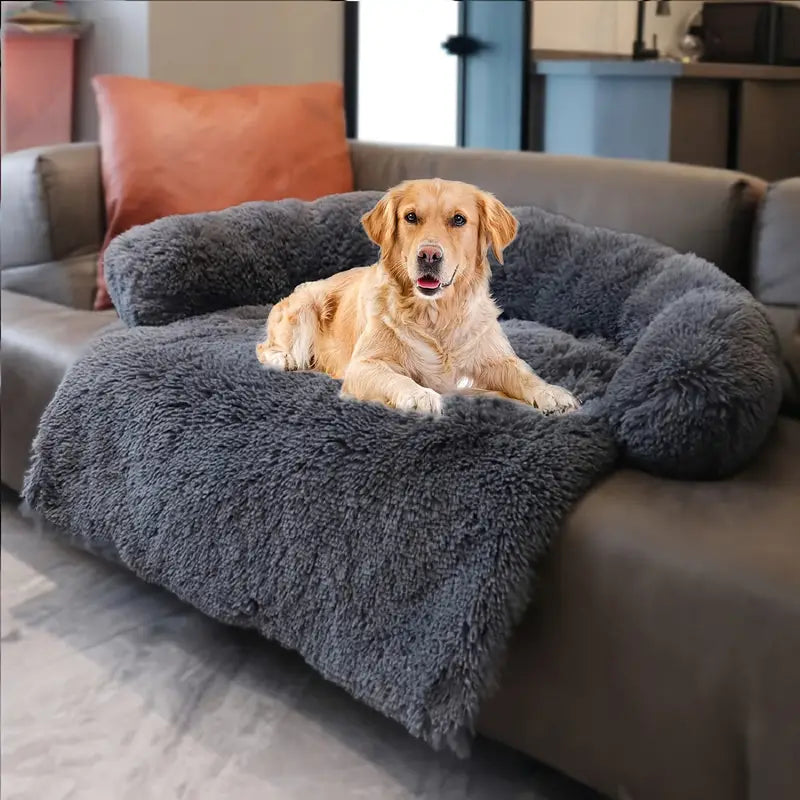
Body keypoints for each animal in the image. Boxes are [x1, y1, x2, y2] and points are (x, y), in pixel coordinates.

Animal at [260, 178, 580, 416]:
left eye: (459, 219)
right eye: (411, 217)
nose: (429, 255)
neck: (435, 314)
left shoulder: (495, 359)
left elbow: (523, 372)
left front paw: (551, 392)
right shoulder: (363, 365)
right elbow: (396, 376)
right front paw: (418, 395)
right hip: (304, 306)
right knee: (264, 347)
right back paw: (282, 358)